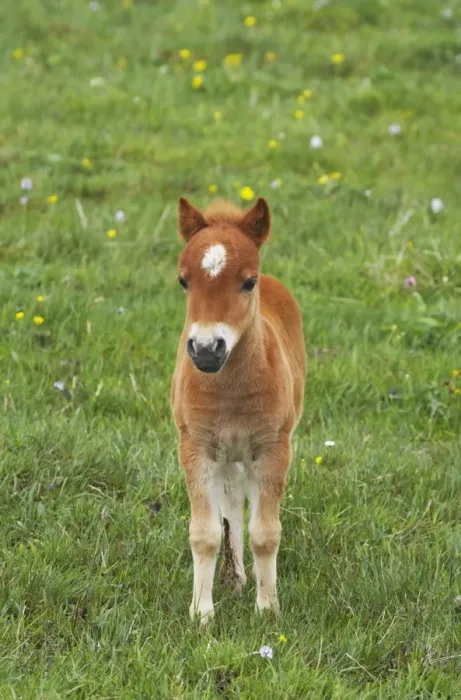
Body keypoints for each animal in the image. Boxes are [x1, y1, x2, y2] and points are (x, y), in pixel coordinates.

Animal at [170, 196, 306, 629]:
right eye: (183, 281)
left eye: (248, 281)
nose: (206, 349)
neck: (229, 392)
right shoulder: (195, 447)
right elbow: (205, 533)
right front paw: (202, 614)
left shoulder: (274, 448)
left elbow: (265, 532)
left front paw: (268, 610)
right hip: (225, 453)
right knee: (230, 502)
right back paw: (235, 579)